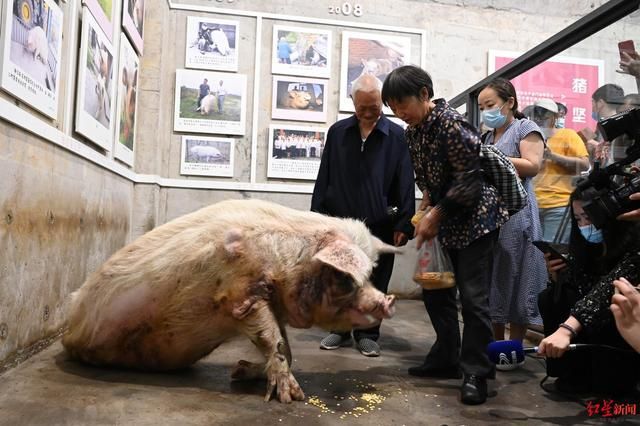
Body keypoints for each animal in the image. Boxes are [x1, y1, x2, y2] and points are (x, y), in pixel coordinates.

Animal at [62, 199, 398, 402]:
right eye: (346, 279)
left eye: (371, 274)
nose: (387, 301)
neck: (291, 263)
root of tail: (68, 334)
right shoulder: (242, 294)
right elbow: (274, 341)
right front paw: (291, 397)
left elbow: (285, 347)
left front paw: (238, 372)